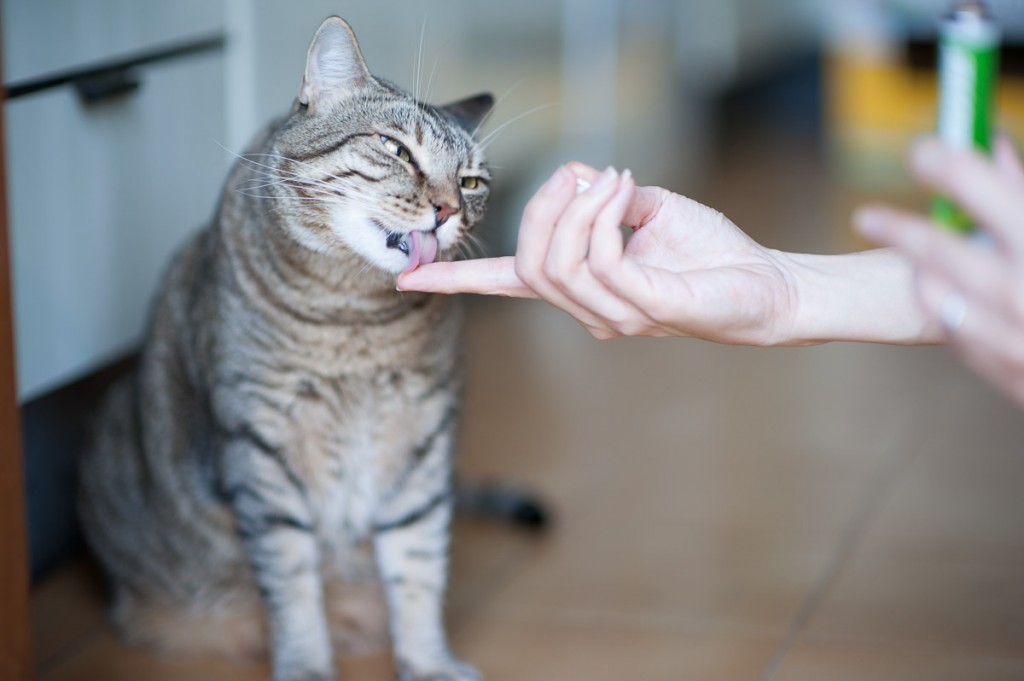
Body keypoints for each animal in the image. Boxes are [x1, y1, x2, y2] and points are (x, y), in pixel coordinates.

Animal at [77, 15, 493, 679]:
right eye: (396, 149)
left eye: (472, 181)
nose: (449, 208)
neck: (356, 320)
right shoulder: (261, 453)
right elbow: (293, 584)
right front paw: (306, 665)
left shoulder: (423, 443)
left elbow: (419, 567)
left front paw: (428, 662)